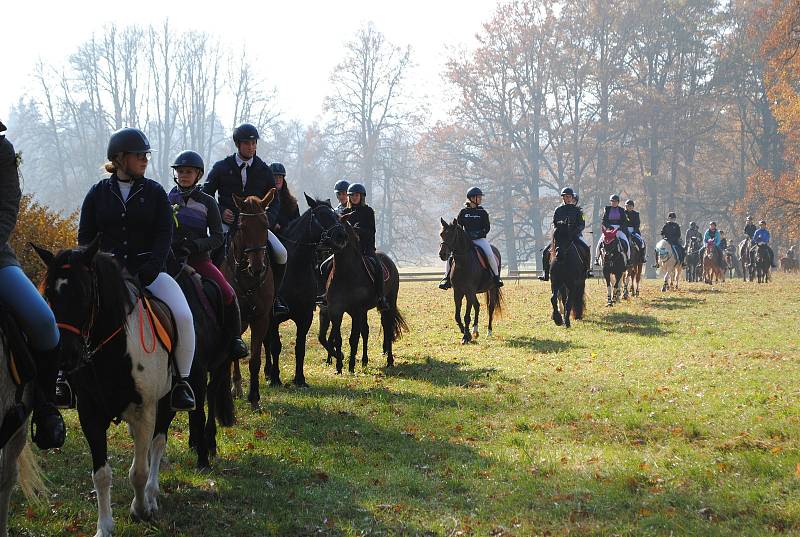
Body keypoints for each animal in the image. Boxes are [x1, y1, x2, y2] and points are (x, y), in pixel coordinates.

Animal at [34, 241, 173, 532]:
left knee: (157, 444)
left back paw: (151, 496)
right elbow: (101, 474)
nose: (64, 356)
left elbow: (139, 471)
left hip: (168, 401)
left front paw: (140, 509)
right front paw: (105, 527)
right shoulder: (90, 413)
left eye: (84, 292)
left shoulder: (145, 410)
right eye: (48, 293)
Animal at [268, 195, 346, 388]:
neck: (295, 270)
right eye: (322, 215)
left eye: (336, 215)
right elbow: (275, 347)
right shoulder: (272, 319)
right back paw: (268, 372)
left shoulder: (305, 317)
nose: (342, 236)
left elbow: (300, 347)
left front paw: (300, 379)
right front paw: (275, 378)